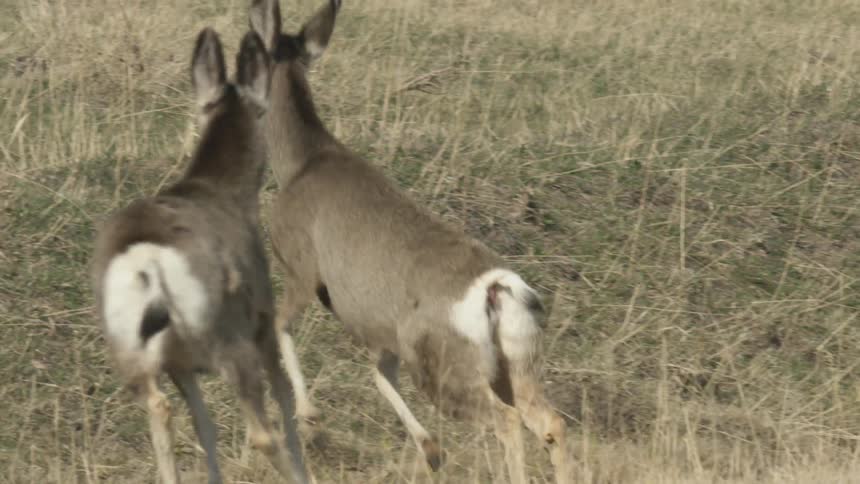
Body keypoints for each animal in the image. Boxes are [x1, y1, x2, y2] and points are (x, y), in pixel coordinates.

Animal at [90, 28, 310, 484]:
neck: (217, 188)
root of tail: (147, 260)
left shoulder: (182, 366)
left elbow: (203, 424)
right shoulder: (262, 320)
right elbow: (283, 393)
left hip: (134, 354)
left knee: (160, 410)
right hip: (230, 344)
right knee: (262, 433)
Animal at [248, 0, 571, 482]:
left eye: (249, 53)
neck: (303, 162)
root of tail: (498, 291)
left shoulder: (302, 268)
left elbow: (281, 326)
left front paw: (310, 421)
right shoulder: (377, 328)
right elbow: (379, 376)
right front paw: (431, 450)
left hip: (443, 363)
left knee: (507, 421)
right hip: (515, 363)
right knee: (551, 422)